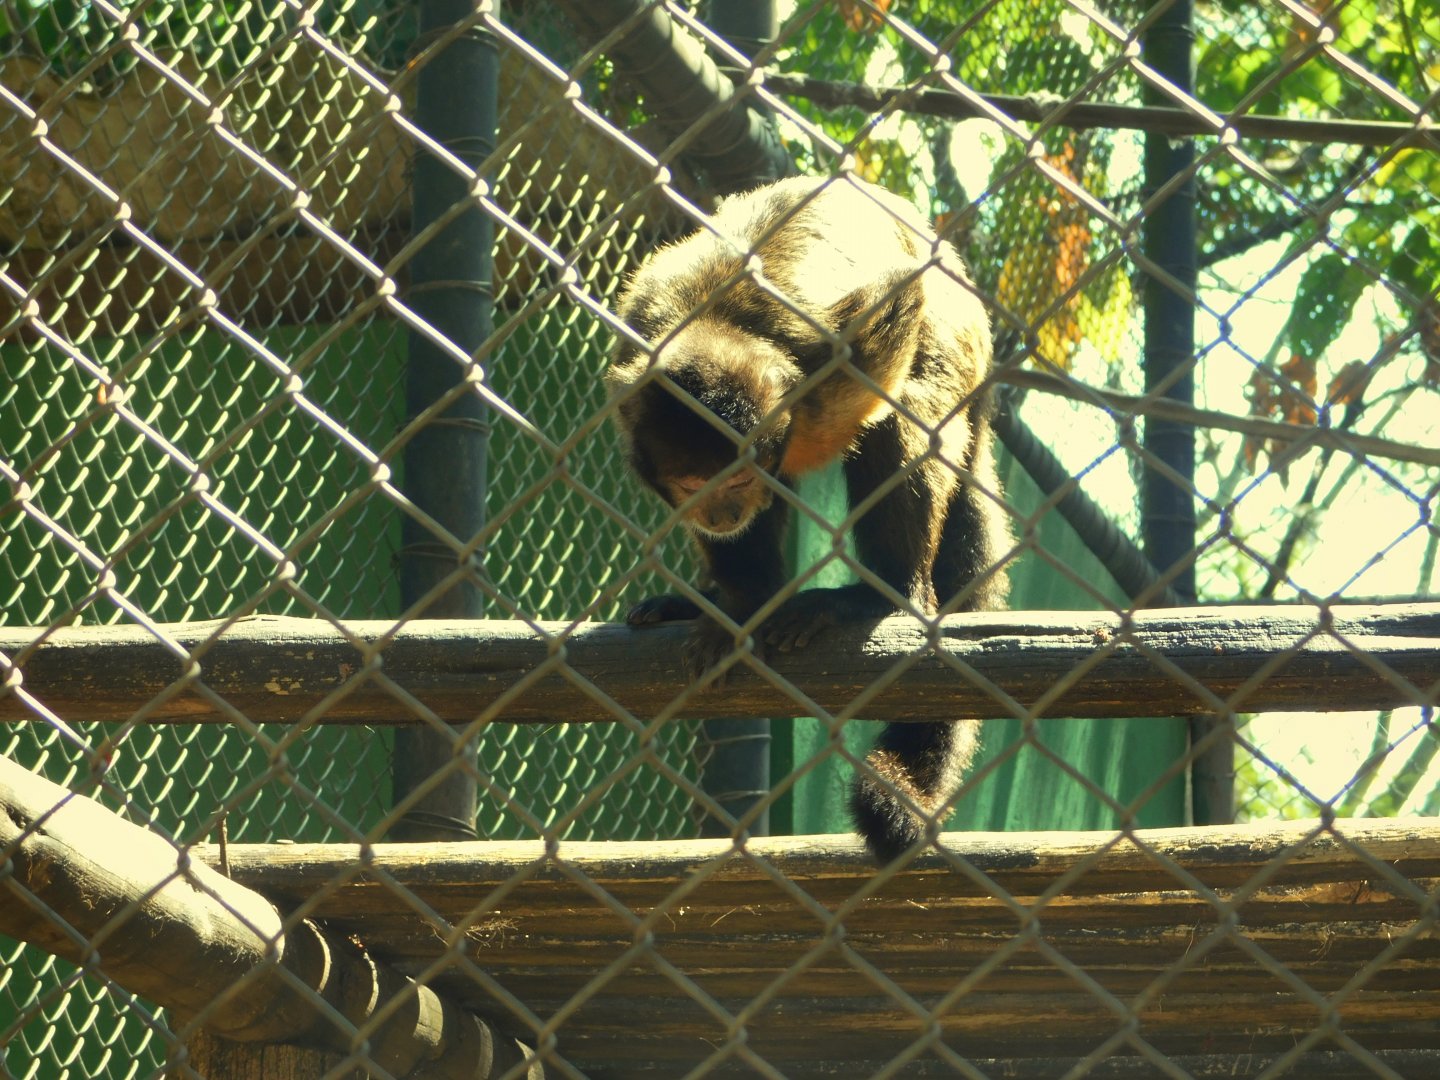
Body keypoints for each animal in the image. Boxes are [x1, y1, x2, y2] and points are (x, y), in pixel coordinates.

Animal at [604, 174, 1012, 863]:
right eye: (694, 486)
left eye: (738, 479)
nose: (723, 510)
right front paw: (741, 605)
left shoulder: (820, 370)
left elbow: (896, 311)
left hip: (959, 344)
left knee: (909, 407)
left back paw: (887, 596)